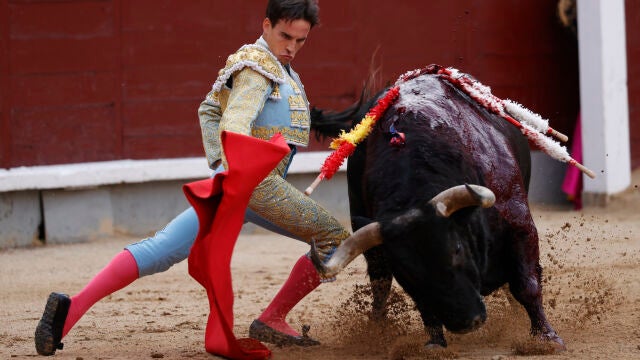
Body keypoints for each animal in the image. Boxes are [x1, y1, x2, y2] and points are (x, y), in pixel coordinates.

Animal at [310, 69, 564, 350]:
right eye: (407, 270)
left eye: (457, 249)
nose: (466, 322)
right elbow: (422, 304)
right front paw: (434, 343)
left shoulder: (519, 224)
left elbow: (526, 284)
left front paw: (547, 338)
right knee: (380, 287)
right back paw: (376, 328)